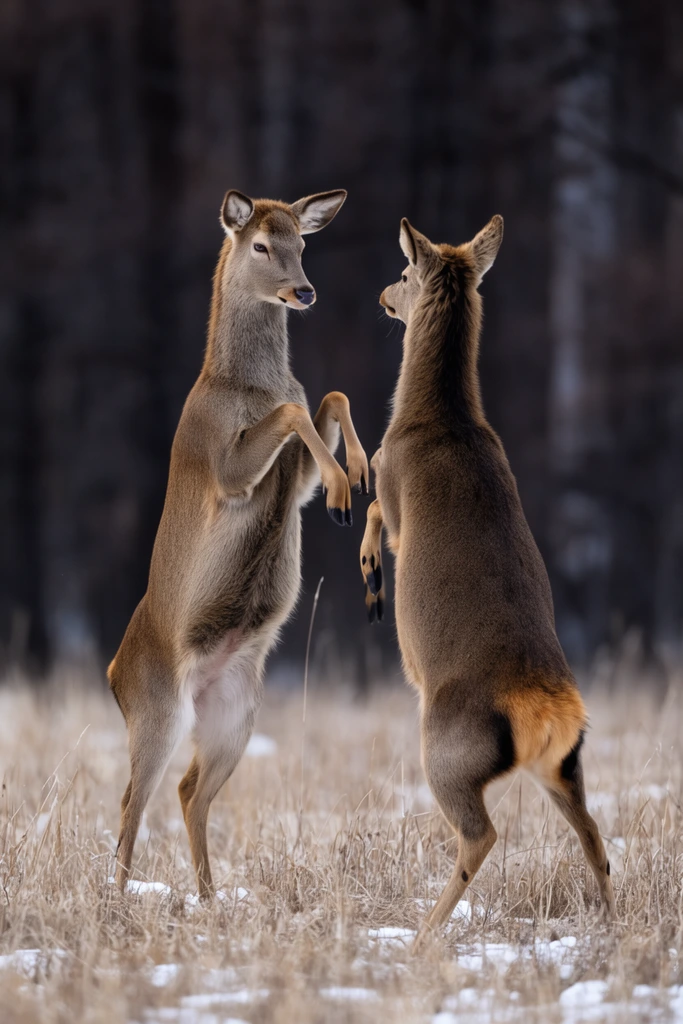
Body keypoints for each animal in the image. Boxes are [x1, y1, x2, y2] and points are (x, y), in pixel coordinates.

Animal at [109, 188, 369, 899]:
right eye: (259, 244)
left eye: (302, 242)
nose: (304, 291)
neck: (244, 386)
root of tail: (111, 673)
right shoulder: (224, 468)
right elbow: (294, 412)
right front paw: (345, 491)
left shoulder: (291, 472)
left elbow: (327, 396)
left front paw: (356, 477)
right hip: (158, 709)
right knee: (133, 798)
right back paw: (118, 900)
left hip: (235, 710)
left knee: (190, 790)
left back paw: (209, 896)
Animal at [361, 215, 615, 948]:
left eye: (403, 270)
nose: (382, 296)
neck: (435, 416)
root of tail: (547, 706)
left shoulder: (390, 484)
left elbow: (372, 510)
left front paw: (371, 580)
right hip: (566, 764)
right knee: (595, 836)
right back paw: (614, 924)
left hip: (446, 747)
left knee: (480, 835)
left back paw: (422, 933)